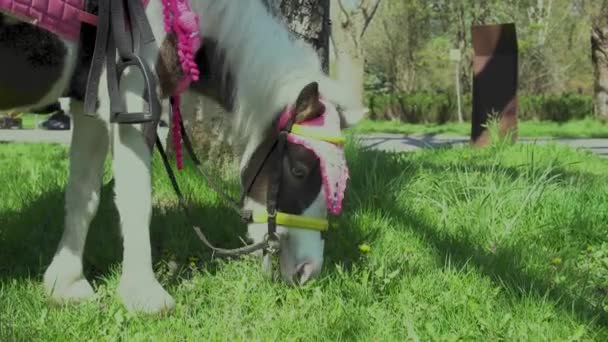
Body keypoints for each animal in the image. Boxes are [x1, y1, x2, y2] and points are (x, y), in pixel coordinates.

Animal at [0, 0, 366, 314]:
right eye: (300, 169)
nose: (308, 270)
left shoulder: (87, 103)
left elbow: (83, 196)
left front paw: (66, 283)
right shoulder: (134, 100)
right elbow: (135, 200)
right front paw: (144, 295)